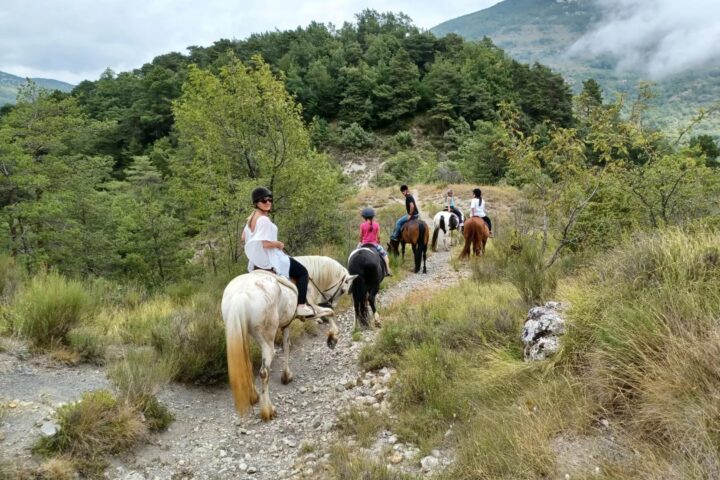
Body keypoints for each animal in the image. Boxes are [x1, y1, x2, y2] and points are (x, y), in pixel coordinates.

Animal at [221, 255, 356, 421]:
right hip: (267, 340)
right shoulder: (312, 311)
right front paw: (333, 338)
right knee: (264, 372)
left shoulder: (286, 323)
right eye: (343, 290)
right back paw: (268, 410)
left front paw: (286, 375)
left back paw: (254, 396)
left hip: (242, 333)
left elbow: (286, 346)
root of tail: (240, 295)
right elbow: (330, 313)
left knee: (247, 363)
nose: (330, 302)